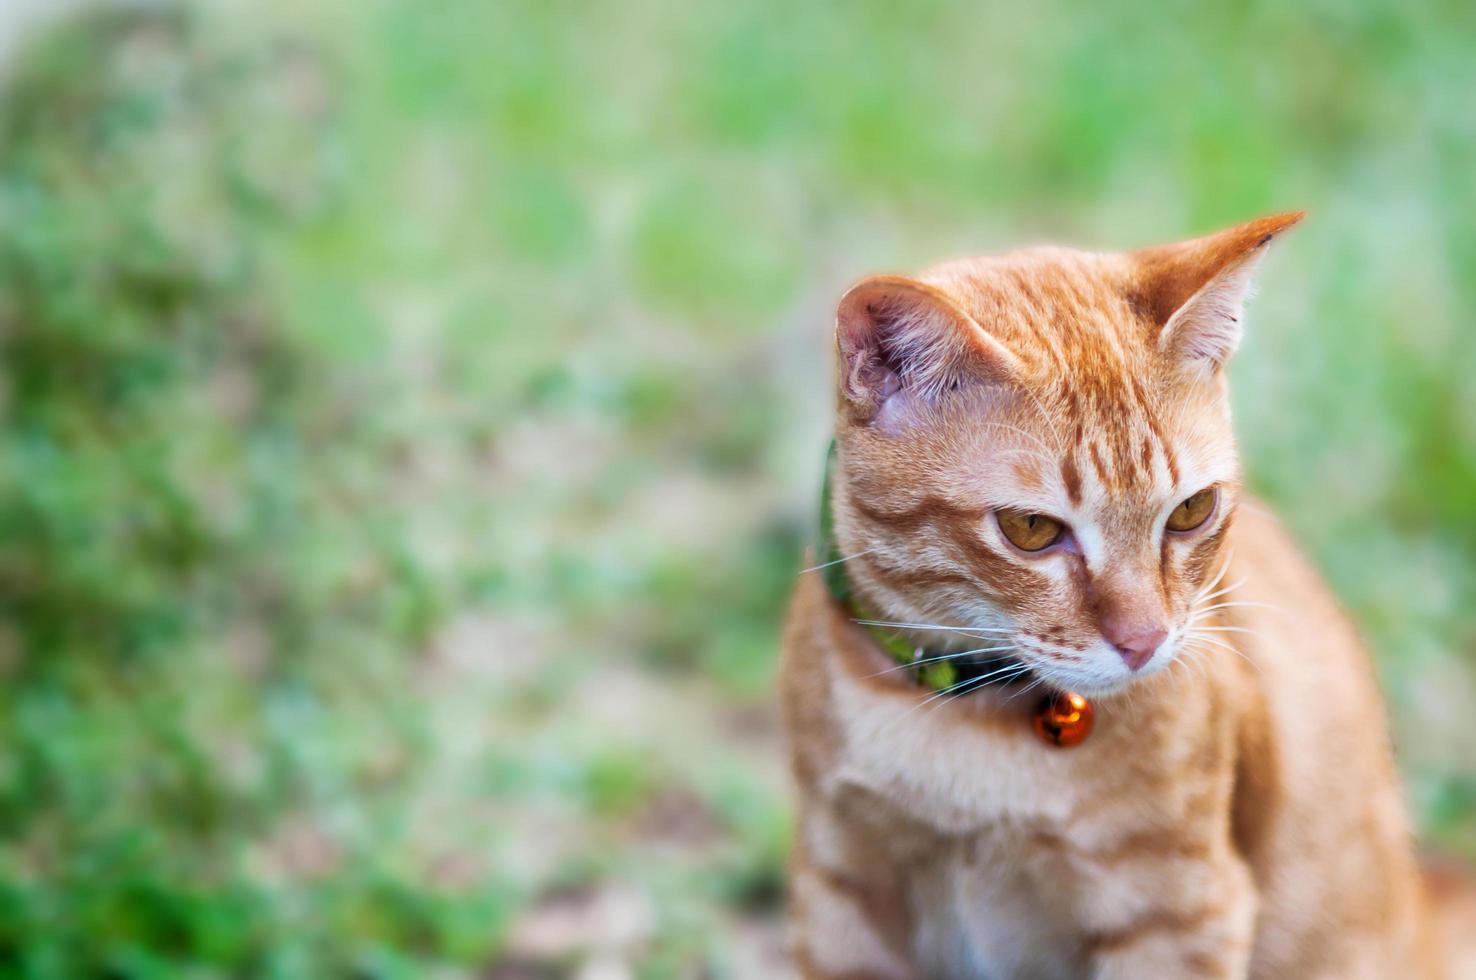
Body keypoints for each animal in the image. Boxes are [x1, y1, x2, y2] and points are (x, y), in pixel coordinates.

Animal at [779, 216, 1470, 980]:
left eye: (1192, 511)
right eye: (1031, 529)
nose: (1145, 642)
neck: (964, 729)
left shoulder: (1181, 913)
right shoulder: (840, 888)